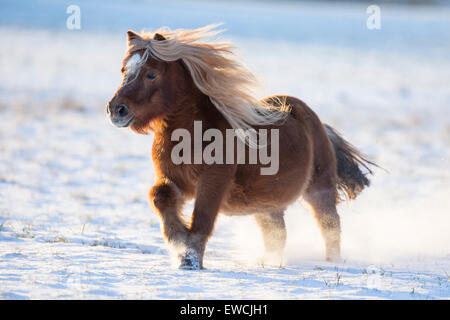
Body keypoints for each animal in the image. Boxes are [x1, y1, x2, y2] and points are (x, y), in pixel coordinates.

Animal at [106, 25, 376, 268]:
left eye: (151, 74)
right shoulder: (173, 178)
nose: (116, 109)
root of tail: (318, 123)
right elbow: (160, 197)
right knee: (277, 233)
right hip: (266, 206)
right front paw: (178, 240)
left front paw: (190, 259)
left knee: (330, 226)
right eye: (124, 70)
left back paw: (332, 263)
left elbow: (202, 219)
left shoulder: (213, 182)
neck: (190, 136)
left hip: (319, 189)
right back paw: (269, 262)